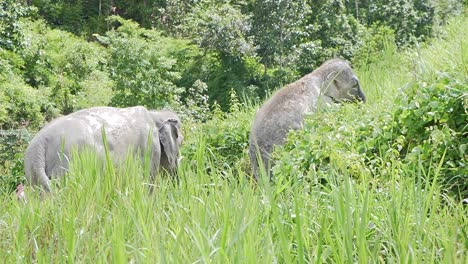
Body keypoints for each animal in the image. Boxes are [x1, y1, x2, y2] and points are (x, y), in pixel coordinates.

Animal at [24, 105, 183, 192]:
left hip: (33, 173)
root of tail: (40, 142)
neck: (155, 113)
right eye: (181, 142)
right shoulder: (149, 148)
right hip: (68, 164)